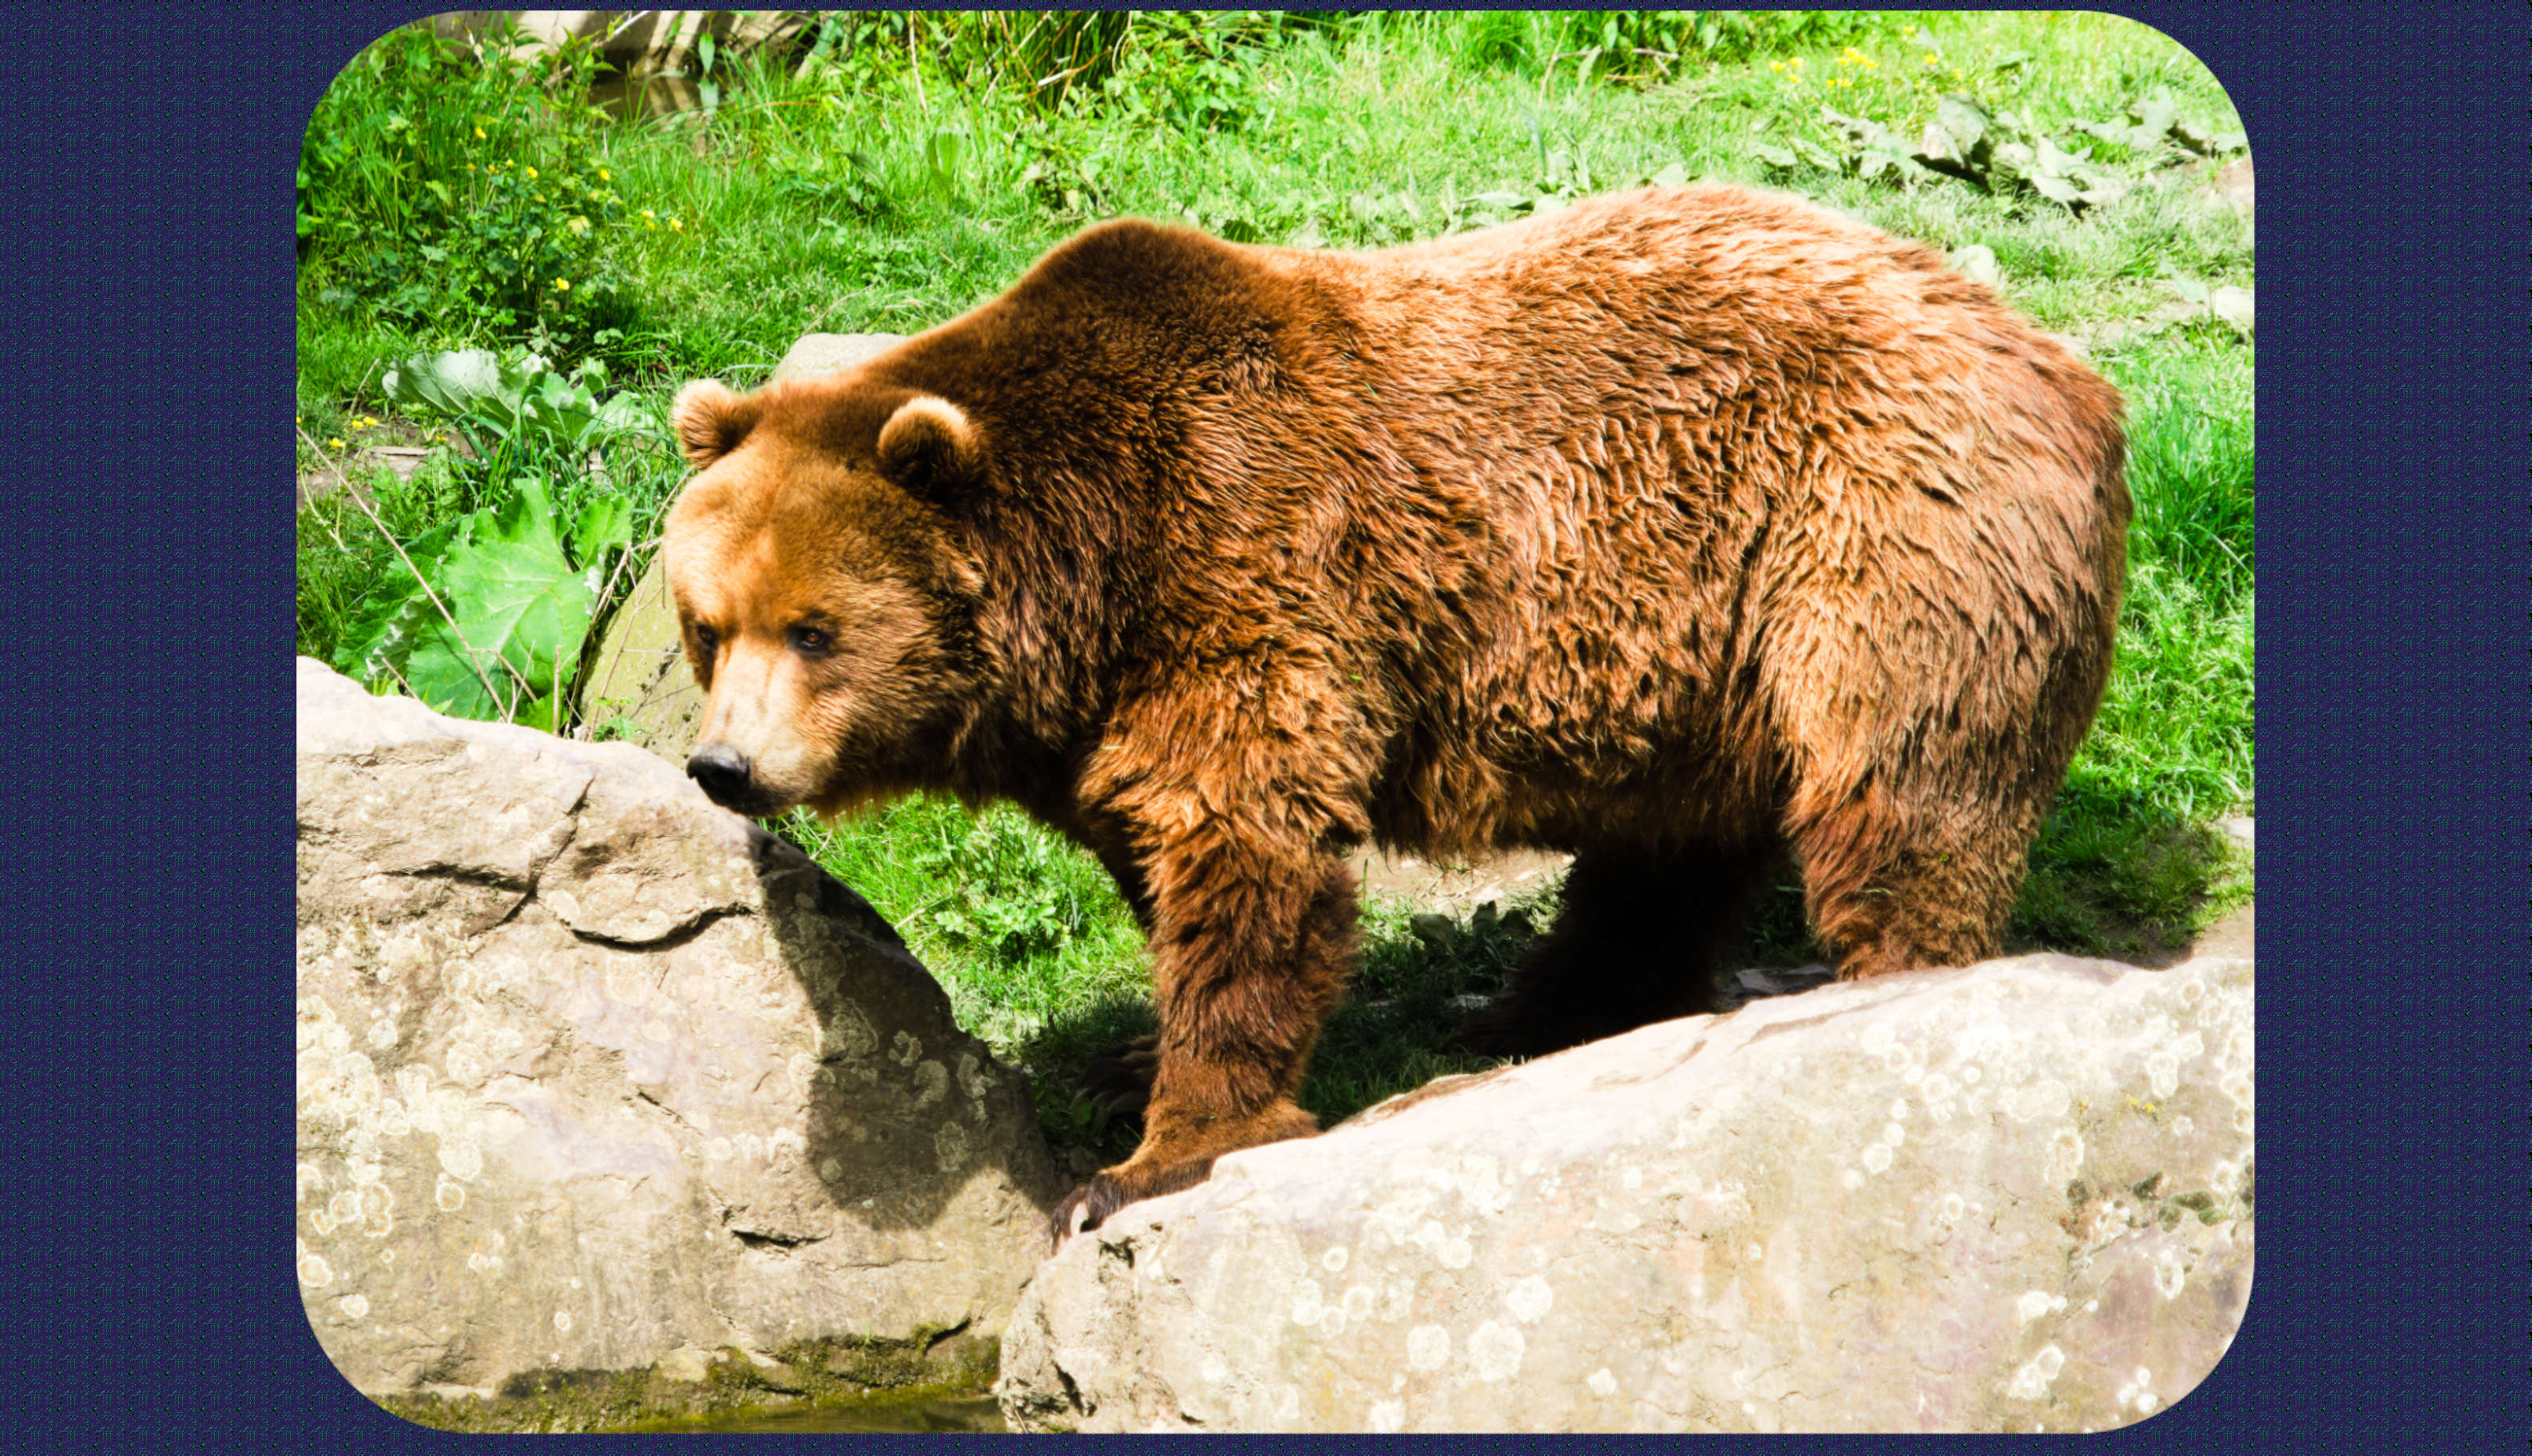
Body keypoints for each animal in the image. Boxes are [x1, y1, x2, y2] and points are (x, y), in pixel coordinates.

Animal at [659, 184, 2130, 1242]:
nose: (724, 764)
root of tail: (2064, 361)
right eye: (707, 622)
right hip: (1711, 643)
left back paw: (1875, 999)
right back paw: (1540, 1009)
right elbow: (1161, 855)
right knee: (1672, 845)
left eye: (814, 629)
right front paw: (1135, 1051)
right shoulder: (1107, 702)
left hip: (1874, 534)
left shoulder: (1244, 569)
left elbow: (1250, 860)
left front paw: (1149, 1155)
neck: (1085, 580)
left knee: (1899, 788)